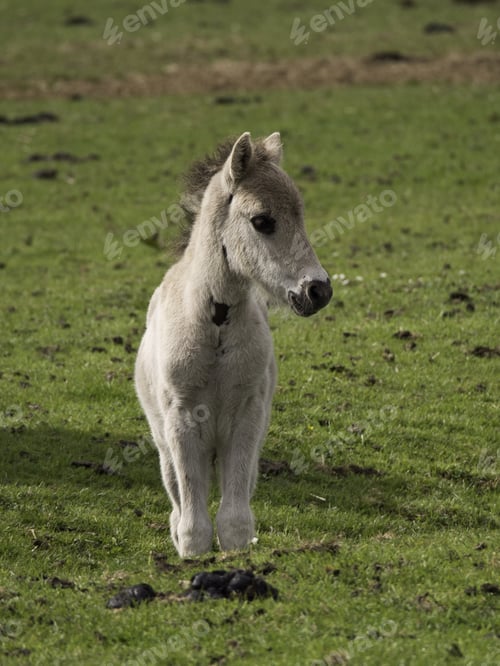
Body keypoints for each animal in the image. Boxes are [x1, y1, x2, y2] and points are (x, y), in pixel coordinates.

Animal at [135, 132, 332, 557]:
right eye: (262, 221)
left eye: (300, 216)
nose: (318, 290)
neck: (215, 324)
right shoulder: (181, 418)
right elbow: (193, 516)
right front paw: (191, 551)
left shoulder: (248, 416)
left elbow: (235, 518)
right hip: (163, 443)